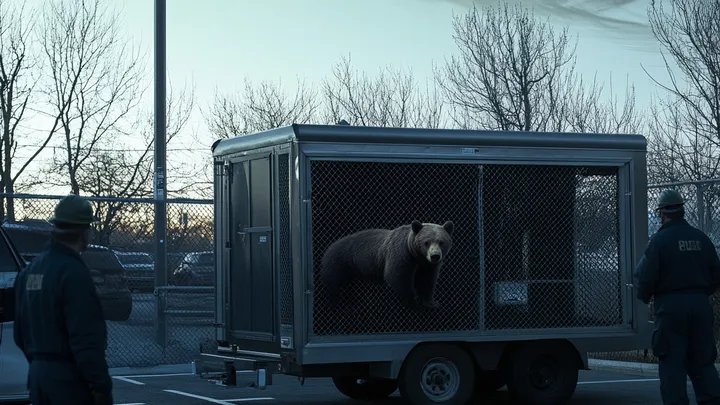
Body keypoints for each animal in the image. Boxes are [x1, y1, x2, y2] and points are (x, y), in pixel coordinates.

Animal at [318, 220, 454, 312]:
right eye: (426, 242)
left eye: (441, 242)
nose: (435, 256)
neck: (417, 256)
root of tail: (328, 248)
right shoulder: (400, 254)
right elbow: (397, 277)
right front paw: (412, 303)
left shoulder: (426, 266)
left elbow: (426, 281)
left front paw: (431, 303)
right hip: (340, 262)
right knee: (333, 285)